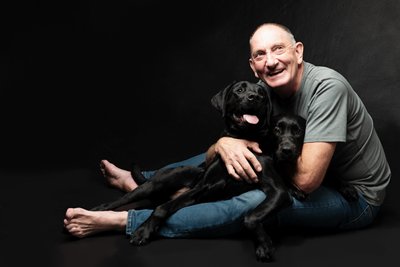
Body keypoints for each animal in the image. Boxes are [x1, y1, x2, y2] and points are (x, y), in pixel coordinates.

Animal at [91, 80, 306, 262]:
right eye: (240, 90)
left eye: (261, 93)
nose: (255, 97)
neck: (243, 140)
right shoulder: (204, 187)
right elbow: (161, 209)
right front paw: (143, 231)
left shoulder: (277, 191)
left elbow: (250, 217)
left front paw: (264, 245)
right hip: (160, 181)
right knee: (124, 199)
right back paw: (96, 210)